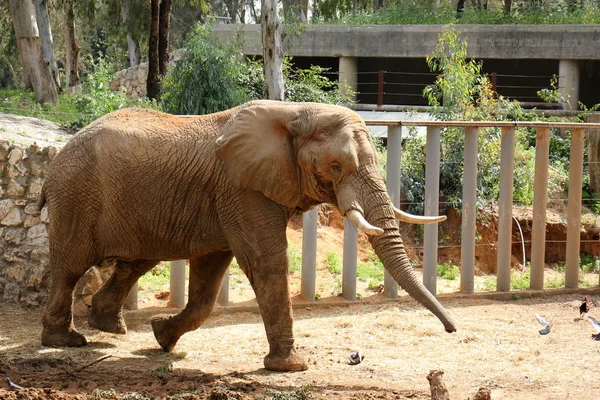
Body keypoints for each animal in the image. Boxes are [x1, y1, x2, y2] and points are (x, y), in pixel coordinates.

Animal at [37, 100, 454, 372]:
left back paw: (109, 327)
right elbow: (265, 260)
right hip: (76, 195)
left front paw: (161, 336)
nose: (451, 329)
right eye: (336, 166)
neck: (295, 113)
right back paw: (65, 341)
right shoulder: (241, 189)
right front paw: (291, 367)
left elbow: (209, 279)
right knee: (71, 266)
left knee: (136, 262)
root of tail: (57, 156)